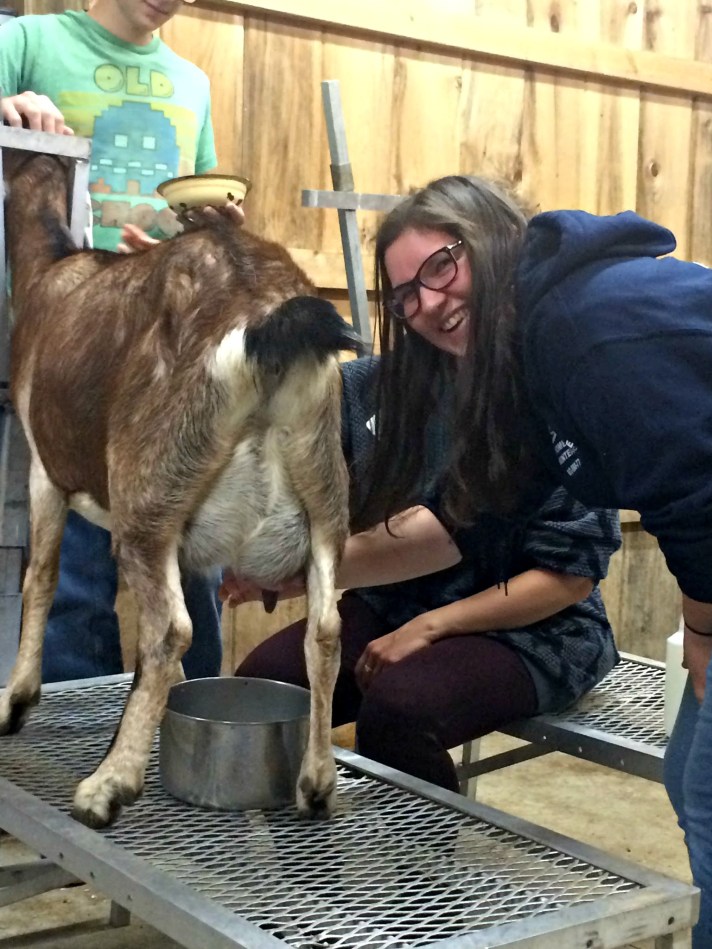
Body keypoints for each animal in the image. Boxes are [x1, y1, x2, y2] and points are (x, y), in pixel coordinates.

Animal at [0, 139, 360, 828]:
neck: (49, 268)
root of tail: (264, 322)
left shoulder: (45, 470)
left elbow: (41, 580)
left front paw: (14, 700)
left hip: (150, 494)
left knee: (169, 628)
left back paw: (107, 786)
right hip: (325, 492)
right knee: (325, 628)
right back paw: (317, 782)